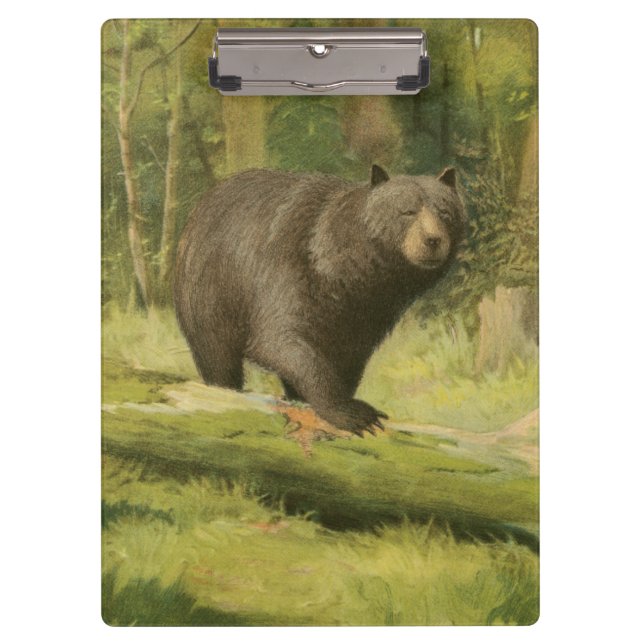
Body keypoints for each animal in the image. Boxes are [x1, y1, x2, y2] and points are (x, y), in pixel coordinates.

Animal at [174, 165, 466, 435]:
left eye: (445, 213)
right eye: (407, 211)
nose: (432, 240)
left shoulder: (369, 313)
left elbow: (349, 356)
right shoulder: (287, 269)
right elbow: (280, 339)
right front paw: (354, 413)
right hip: (209, 292)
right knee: (217, 355)